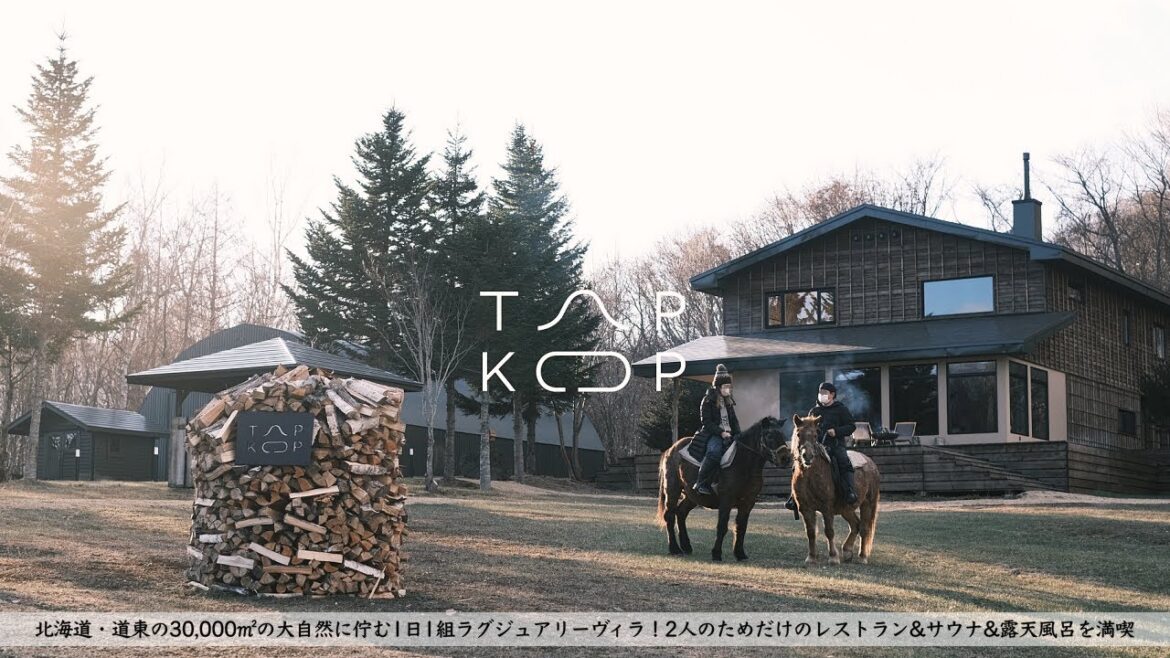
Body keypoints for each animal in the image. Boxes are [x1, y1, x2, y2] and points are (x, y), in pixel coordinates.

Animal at [656, 416, 790, 561]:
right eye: (769, 435)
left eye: (782, 435)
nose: (785, 458)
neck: (743, 463)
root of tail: (670, 450)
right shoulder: (726, 501)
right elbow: (722, 526)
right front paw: (716, 554)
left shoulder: (748, 502)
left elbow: (741, 526)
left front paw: (740, 553)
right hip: (672, 490)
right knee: (669, 515)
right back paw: (674, 549)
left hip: (692, 496)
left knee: (681, 513)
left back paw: (686, 546)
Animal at [788, 413, 881, 565]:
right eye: (798, 434)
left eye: (815, 435)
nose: (807, 456)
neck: (811, 476)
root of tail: (870, 462)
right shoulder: (805, 508)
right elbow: (810, 532)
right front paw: (811, 557)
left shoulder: (827, 508)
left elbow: (829, 531)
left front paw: (833, 557)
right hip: (846, 508)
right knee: (855, 525)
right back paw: (847, 551)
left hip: (868, 503)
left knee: (864, 528)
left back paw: (862, 557)